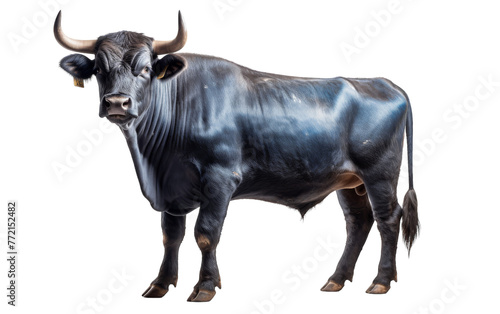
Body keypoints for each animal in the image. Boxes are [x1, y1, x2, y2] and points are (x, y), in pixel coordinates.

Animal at [54, 11, 418, 302]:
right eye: (99, 70)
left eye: (144, 69)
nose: (117, 103)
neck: (155, 161)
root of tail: (385, 83)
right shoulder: (171, 187)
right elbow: (171, 235)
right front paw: (160, 284)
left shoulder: (220, 179)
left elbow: (206, 233)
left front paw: (205, 286)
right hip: (349, 181)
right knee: (358, 222)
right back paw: (336, 280)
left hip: (379, 174)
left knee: (387, 219)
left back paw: (381, 281)